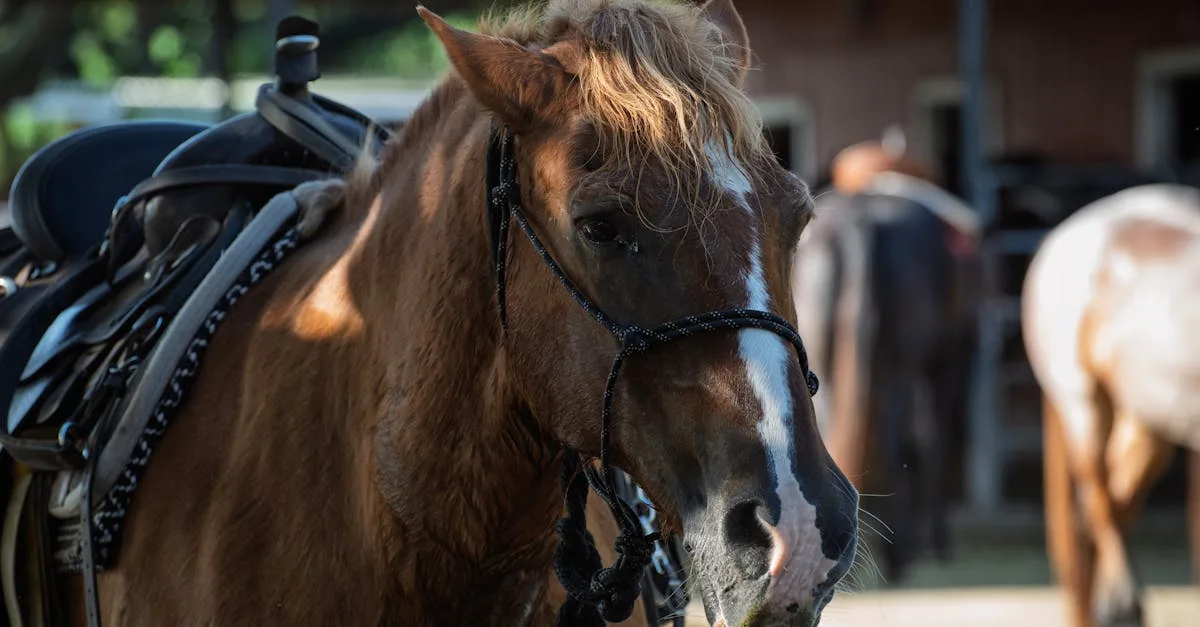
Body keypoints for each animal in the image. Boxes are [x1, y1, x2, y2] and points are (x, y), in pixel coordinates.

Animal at [791, 140, 981, 584]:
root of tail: (861, 221)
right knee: (904, 442)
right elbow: (932, 440)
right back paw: (899, 554)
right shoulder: (952, 358)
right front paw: (937, 540)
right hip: (904, 366)